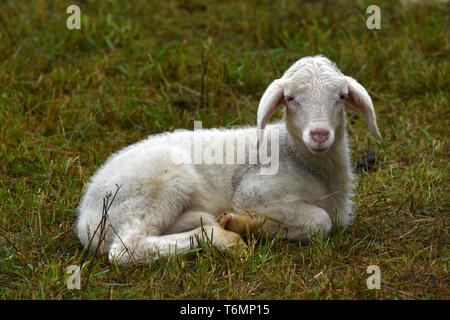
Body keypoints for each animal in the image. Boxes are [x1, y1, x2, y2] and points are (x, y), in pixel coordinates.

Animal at [76, 55, 380, 264]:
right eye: (290, 98)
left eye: (341, 97)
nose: (319, 134)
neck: (299, 157)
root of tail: (85, 217)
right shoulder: (254, 192)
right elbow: (319, 221)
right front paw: (249, 223)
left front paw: (248, 224)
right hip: (156, 188)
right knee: (127, 248)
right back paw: (226, 238)